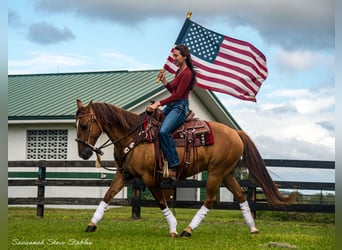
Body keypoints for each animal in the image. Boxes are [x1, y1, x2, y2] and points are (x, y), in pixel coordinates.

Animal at [75, 98, 296, 237]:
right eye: (76, 125)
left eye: (84, 126)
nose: (83, 153)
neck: (135, 136)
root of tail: (236, 133)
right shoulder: (124, 174)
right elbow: (107, 196)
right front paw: (91, 224)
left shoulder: (149, 178)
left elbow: (161, 201)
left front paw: (173, 228)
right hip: (227, 174)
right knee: (241, 196)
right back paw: (252, 228)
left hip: (216, 172)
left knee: (210, 200)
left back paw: (187, 230)